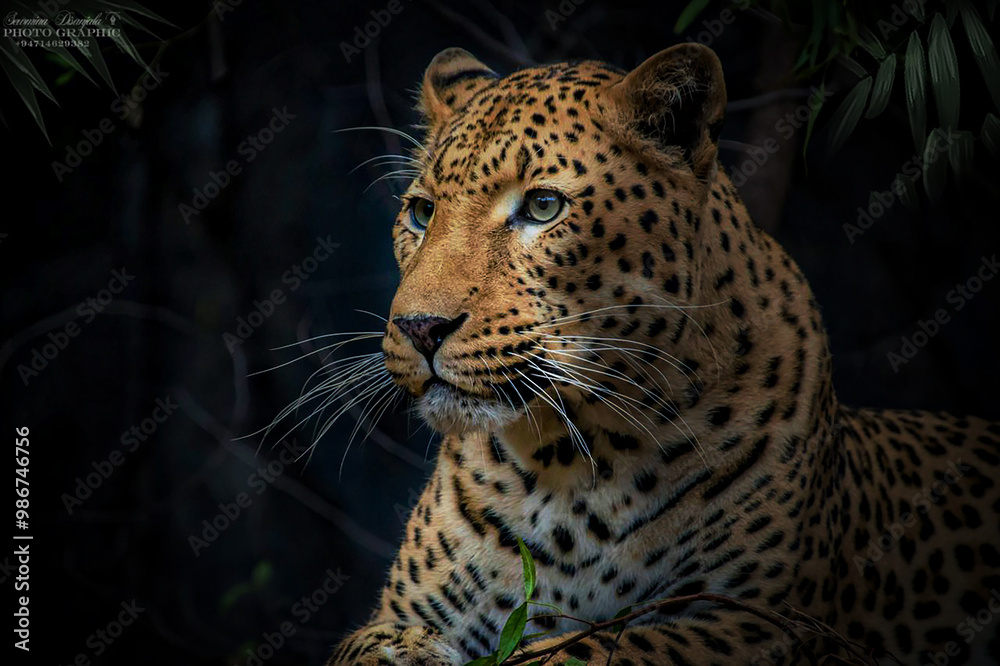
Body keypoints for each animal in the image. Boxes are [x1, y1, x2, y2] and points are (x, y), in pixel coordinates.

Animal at [326, 43, 1000, 665]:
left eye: (543, 207)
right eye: (421, 212)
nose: (419, 328)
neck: (571, 465)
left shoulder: (756, 621)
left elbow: (599, 648)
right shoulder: (394, 616)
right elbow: (368, 646)